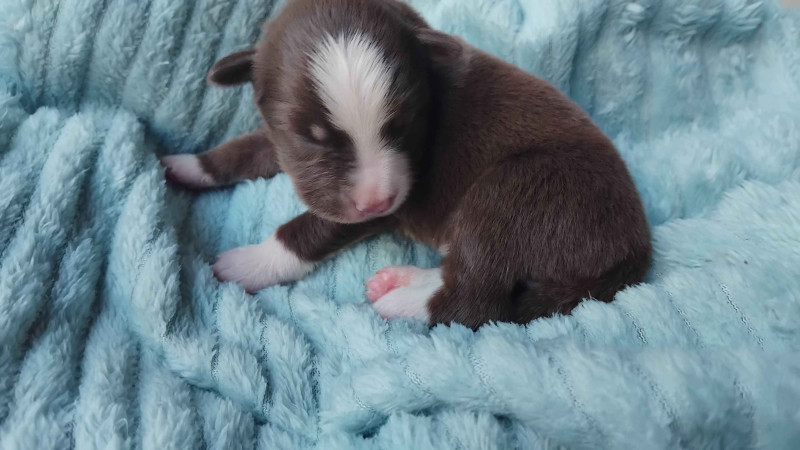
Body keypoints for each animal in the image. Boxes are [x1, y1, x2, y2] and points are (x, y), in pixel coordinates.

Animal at [161, 0, 652, 329]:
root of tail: (635, 250)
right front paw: (187, 165)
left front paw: (251, 262)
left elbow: (310, 228)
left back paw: (403, 304)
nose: (376, 200)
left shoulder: (387, 199)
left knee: (477, 298)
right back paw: (404, 280)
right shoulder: (284, 143)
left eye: (402, 126)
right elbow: (245, 148)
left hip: (517, 192)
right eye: (310, 139)